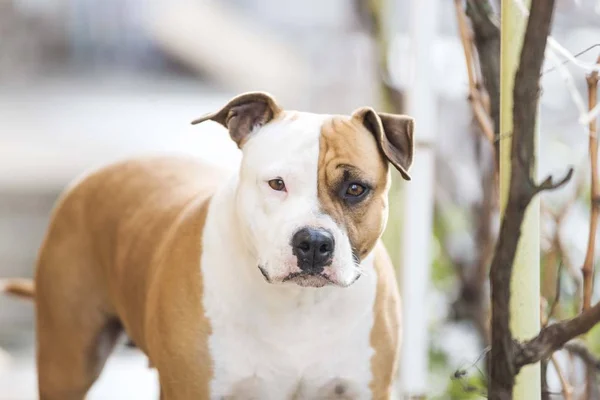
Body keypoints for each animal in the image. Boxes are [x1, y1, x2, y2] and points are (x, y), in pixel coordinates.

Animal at [1, 92, 412, 398]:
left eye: (356, 188)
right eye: (276, 183)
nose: (312, 242)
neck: (298, 304)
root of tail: (93, 175)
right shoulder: (192, 388)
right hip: (67, 362)